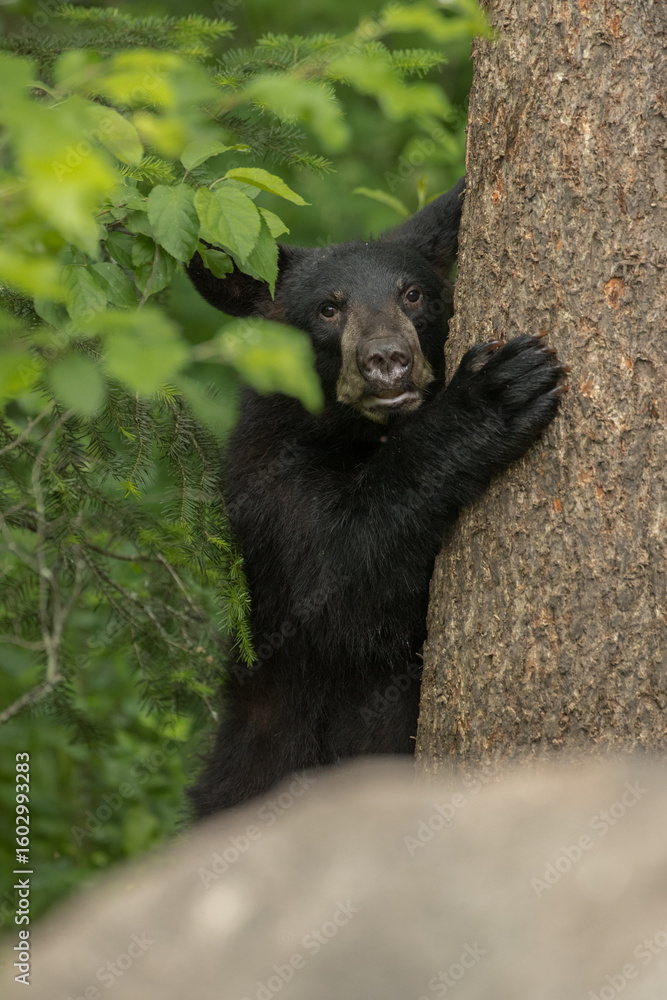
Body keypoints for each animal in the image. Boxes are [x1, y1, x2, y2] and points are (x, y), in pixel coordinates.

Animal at [186, 177, 567, 817]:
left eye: (412, 294)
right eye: (328, 307)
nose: (387, 360)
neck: (363, 434)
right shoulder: (270, 481)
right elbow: (342, 581)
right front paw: (495, 392)